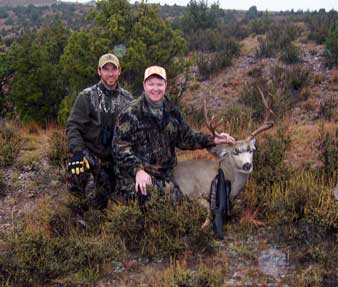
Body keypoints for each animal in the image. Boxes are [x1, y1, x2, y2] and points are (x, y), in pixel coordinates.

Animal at [173, 89, 274, 234]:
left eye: (251, 150)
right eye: (235, 152)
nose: (247, 165)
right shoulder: (191, 192)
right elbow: (209, 209)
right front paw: (204, 226)